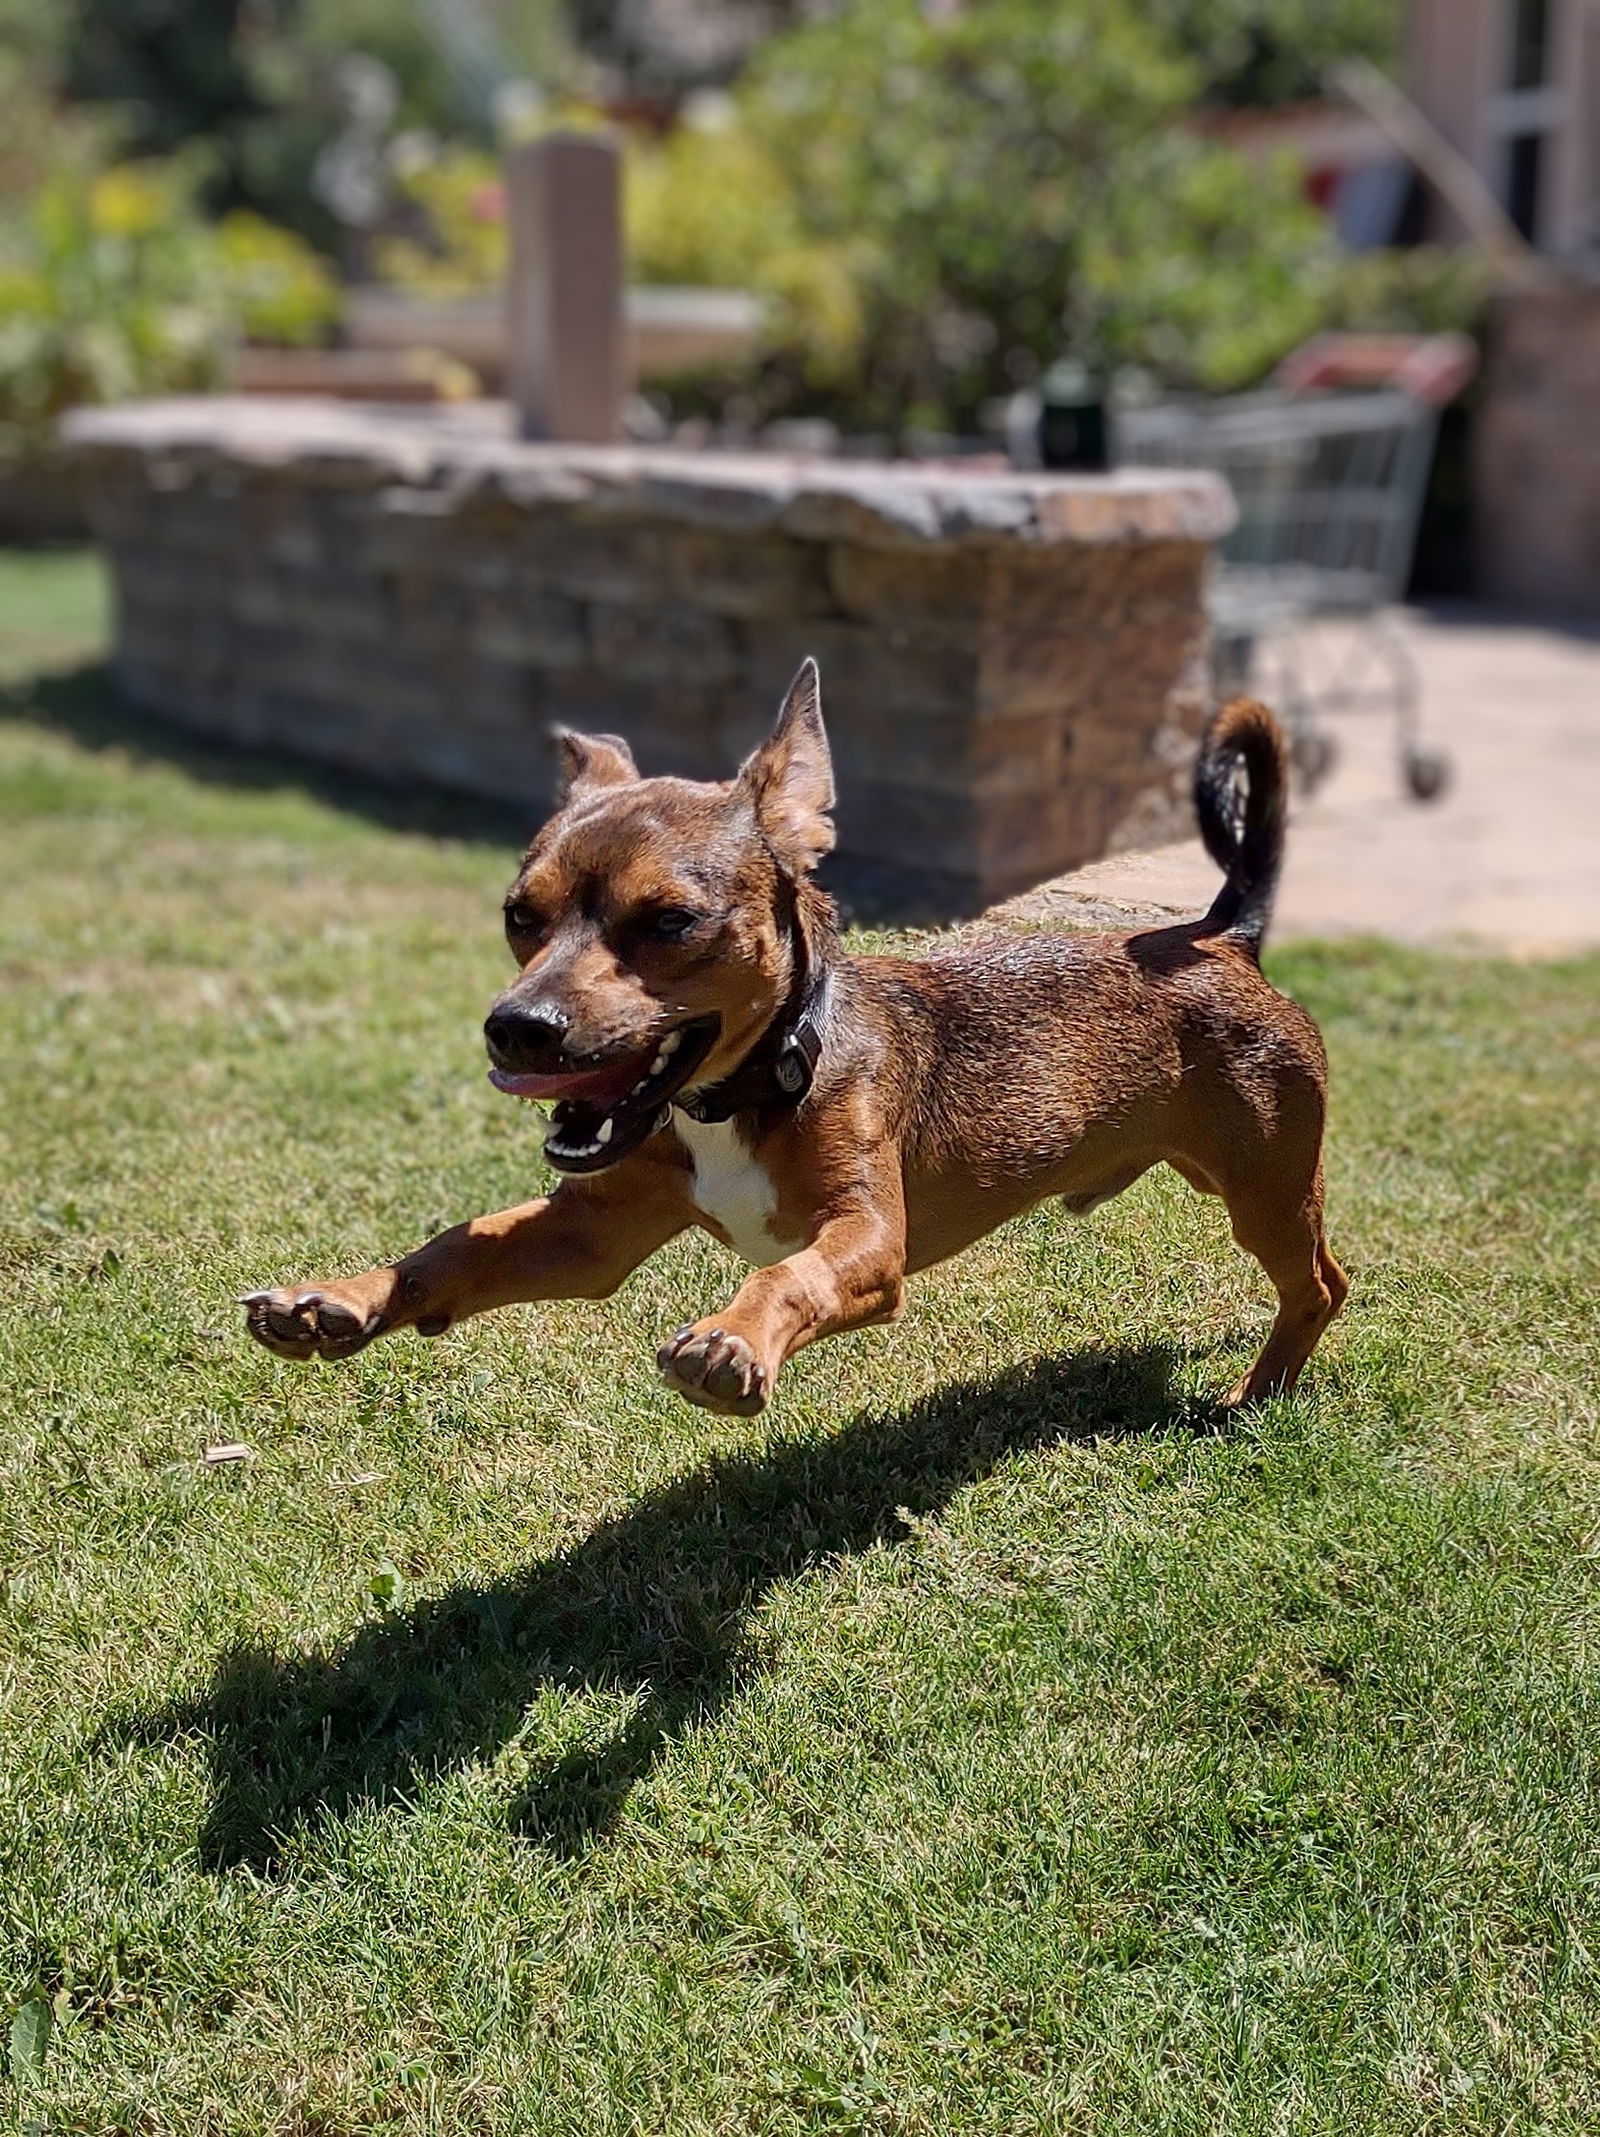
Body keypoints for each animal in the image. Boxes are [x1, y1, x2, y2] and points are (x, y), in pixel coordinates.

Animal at [243, 658, 1341, 1410]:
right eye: (520, 914)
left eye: (668, 922)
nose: (514, 1028)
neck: (748, 1092)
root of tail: (1220, 932)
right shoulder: (588, 1236)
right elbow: (458, 1245)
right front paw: (341, 1297)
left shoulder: (868, 1237)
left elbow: (790, 1272)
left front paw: (734, 1339)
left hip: (1267, 1188)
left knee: (1322, 1284)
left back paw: (1258, 1393)